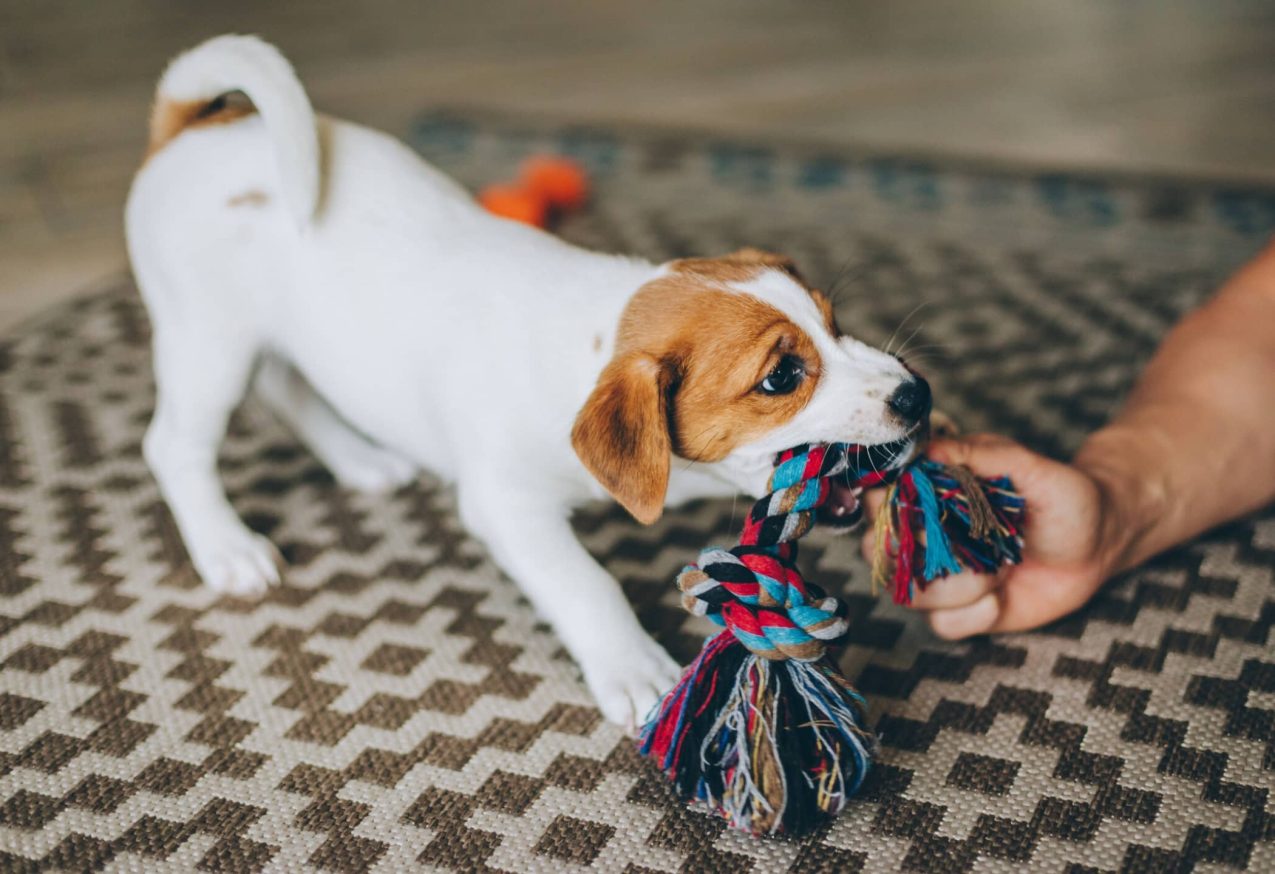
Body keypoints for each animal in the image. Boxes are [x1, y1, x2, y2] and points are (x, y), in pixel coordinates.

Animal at [126, 35, 928, 724]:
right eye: (782, 376)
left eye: (835, 321)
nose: (917, 395)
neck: (589, 339)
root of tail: (192, 128)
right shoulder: (506, 505)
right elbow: (586, 583)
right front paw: (633, 667)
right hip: (209, 341)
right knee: (175, 446)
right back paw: (227, 549)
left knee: (288, 388)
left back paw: (361, 460)